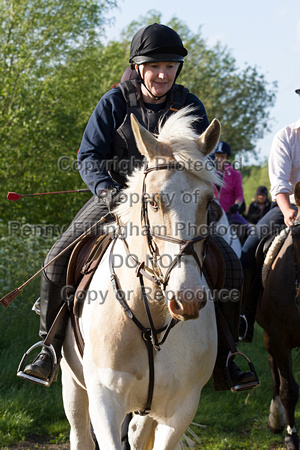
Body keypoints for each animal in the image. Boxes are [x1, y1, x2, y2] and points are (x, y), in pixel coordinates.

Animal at [61, 109, 220, 450]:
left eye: (208, 202)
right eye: (154, 202)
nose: (187, 298)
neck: (152, 319)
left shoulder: (179, 410)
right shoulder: (105, 401)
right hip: (73, 384)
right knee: (80, 434)